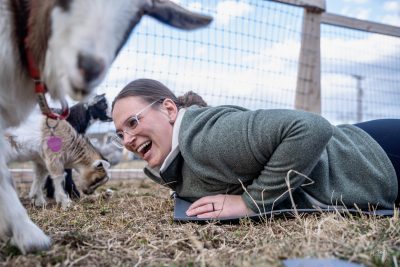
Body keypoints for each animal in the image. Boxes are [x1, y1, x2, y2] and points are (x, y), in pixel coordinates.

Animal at [0, 0, 212, 255]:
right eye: (98, 178)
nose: (89, 68)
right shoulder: (52, 157)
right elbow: (58, 177)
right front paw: (64, 201)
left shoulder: (41, 159)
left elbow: (40, 179)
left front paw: (40, 200)